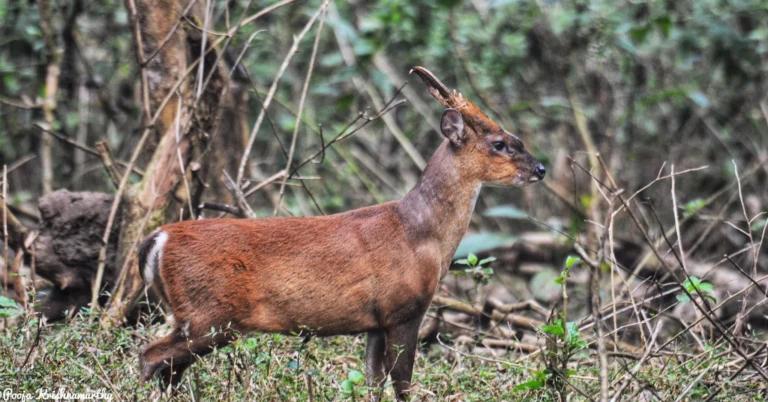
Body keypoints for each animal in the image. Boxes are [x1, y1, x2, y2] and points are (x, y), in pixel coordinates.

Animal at [138, 66, 544, 398]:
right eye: (500, 144)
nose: (540, 169)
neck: (420, 232)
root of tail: (158, 239)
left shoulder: (375, 322)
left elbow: (373, 383)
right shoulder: (404, 308)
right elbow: (403, 384)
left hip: (198, 318)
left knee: (167, 367)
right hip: (208, 315)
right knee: (151, 356)